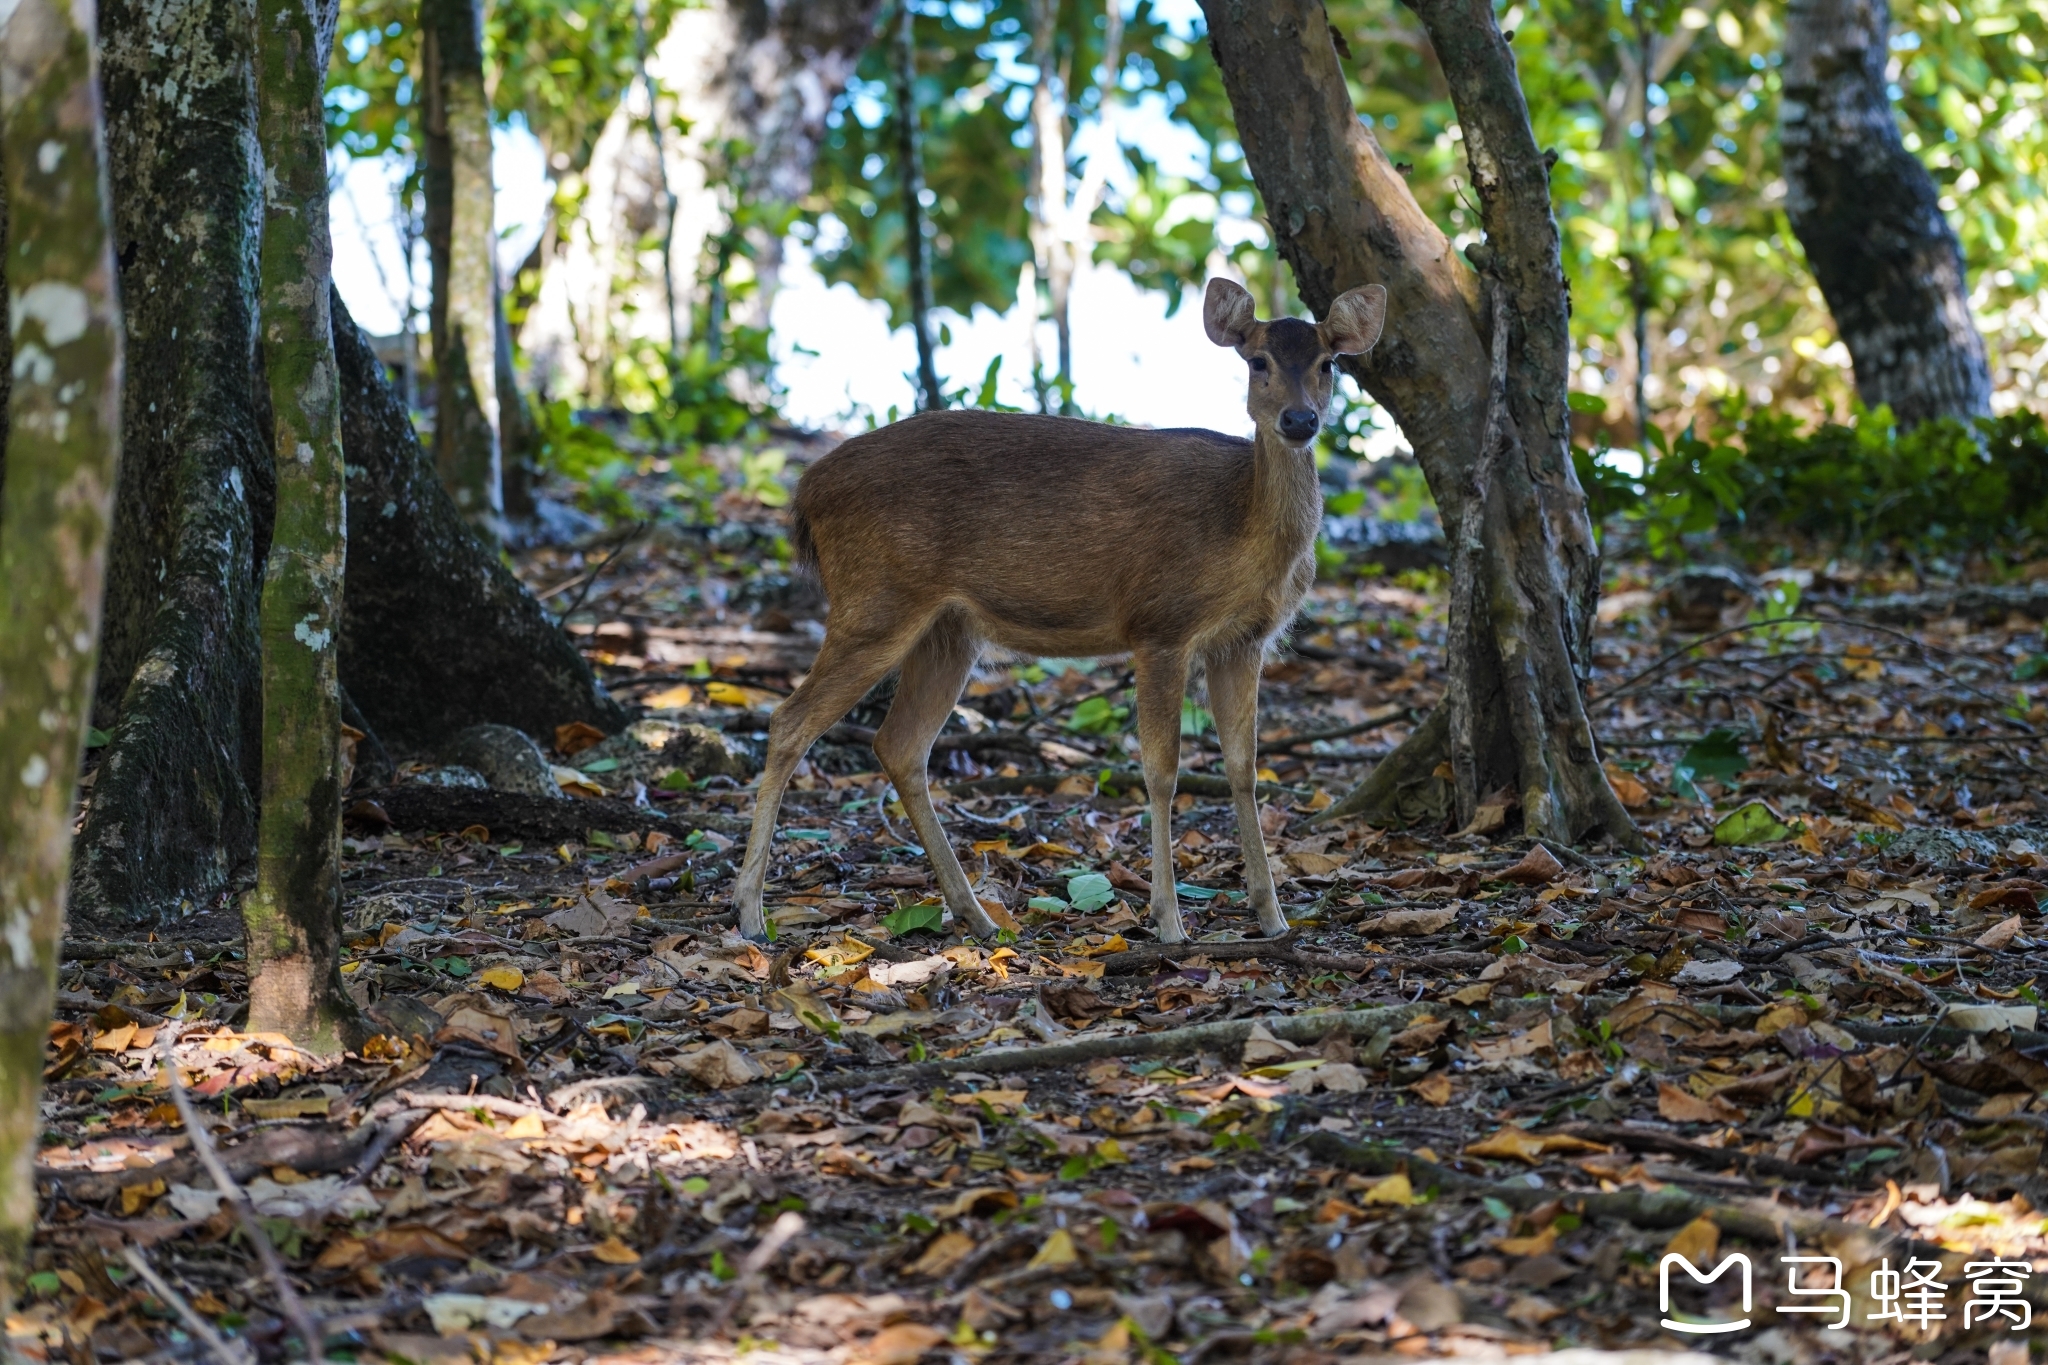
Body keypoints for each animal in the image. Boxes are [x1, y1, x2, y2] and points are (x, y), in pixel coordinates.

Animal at [729, 274, 1384, 941]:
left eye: (1328, 363)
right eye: (1258, 362)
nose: (1300, 419)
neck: (1241, 524)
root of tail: (804, 494)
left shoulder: (1244, 639)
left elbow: (1244, 767)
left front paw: (1272, 916)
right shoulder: (1160, 623)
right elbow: (1161, 769)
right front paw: (1168, 920)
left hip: (947, 629)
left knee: (899, 744)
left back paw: (976, 915)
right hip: (876, 598)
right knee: (789, 721)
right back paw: (751, 911)